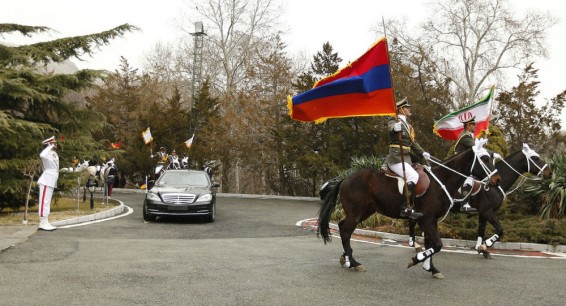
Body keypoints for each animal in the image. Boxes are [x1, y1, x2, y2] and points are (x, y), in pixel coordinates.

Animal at [320, 140, 502, 278]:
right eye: (485, 158)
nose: (497, 180)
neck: (441, 181)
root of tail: (345, 178)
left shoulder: (430, 220)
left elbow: (431, 244)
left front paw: (431, 269)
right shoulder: (427, 219)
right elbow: (437, 245)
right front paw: (417, 259)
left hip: (364, 212)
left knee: (343, 226)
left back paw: (346, 259)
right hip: (356, 213)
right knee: (345, 232)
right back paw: (354, 263)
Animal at [410, 143, 552, 258]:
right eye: (535, 158)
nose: (549, 173)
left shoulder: (483, 213)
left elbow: (481, 230)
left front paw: (481, 249)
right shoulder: (487, 211)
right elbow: (500, 229)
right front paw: (486, 245)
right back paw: (415, 244)